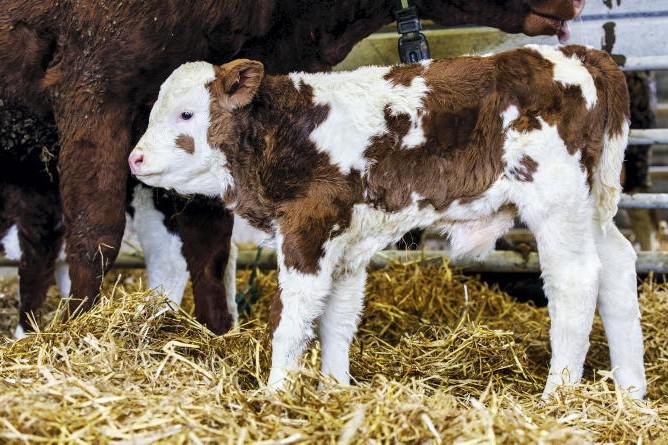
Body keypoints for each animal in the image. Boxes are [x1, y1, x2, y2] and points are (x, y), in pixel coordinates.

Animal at [128, 44, 645, 400]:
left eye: (187, 113)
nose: (135, 158)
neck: (290, 131)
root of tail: (578, 54)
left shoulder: (307, 229)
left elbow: (291, 315)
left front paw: (275, 392)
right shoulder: (348, 241)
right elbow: (338, 315)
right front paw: (334, 387)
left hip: (555, 200)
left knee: (575, 280)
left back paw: (557, 393)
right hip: (589, 206)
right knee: (618, 266)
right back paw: (631, 391)